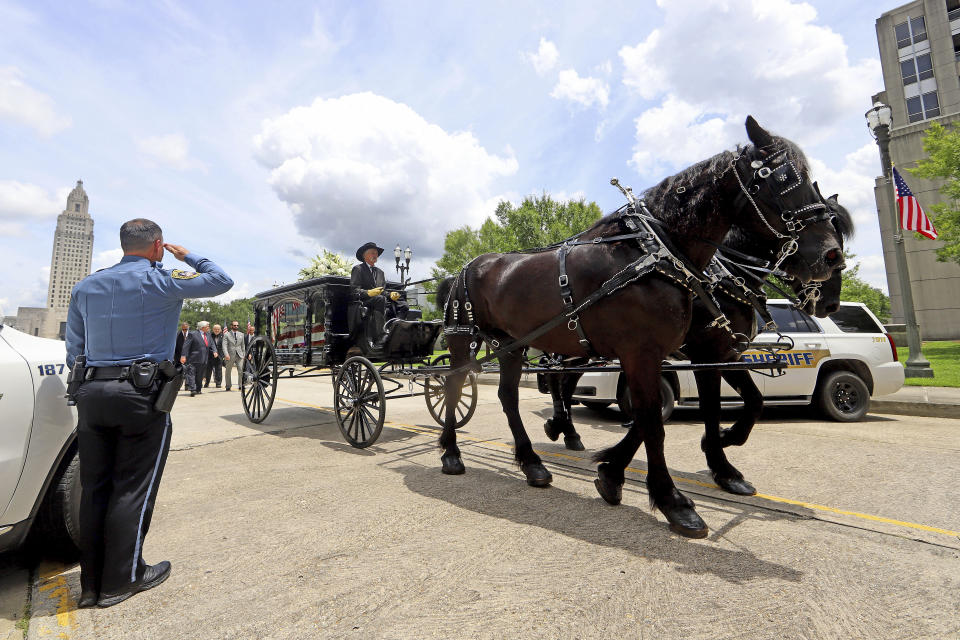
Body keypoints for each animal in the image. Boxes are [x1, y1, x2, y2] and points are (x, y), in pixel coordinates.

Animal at [436, 117, 840, 536]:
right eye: (781, 177)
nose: (831, 257)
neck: (656, 255)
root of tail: (464, 269)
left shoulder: (690, 355)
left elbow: (680, 413)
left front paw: (616, 473)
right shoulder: (655, 352)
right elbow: (653, 421)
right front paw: (672, 499)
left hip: (513, 344)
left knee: (510, 396)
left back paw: (533, 462)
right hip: (462, 339)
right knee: (453, 385)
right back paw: (451, 453)